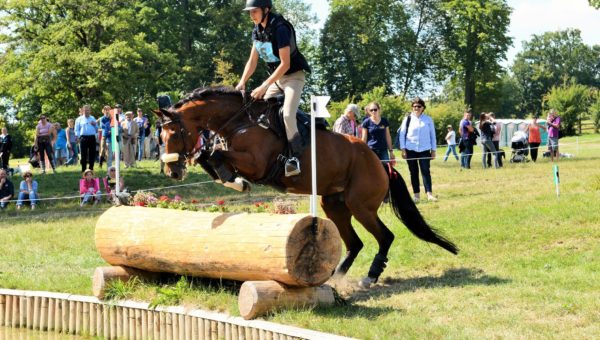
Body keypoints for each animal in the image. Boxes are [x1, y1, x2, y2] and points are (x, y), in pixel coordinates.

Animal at [155, 85, 460, 286]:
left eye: (174, 134)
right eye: (159, 137)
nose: (172, 172)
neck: (240, 121)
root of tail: (381, 163)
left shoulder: (257, 163)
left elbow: (216, 155)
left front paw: (236, 182)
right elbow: (208, 156)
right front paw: (231, 179)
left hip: (360, 205)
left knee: (385, 237)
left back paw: (370, 276)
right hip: (333, 204)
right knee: (355, 243)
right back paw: (335, 276)